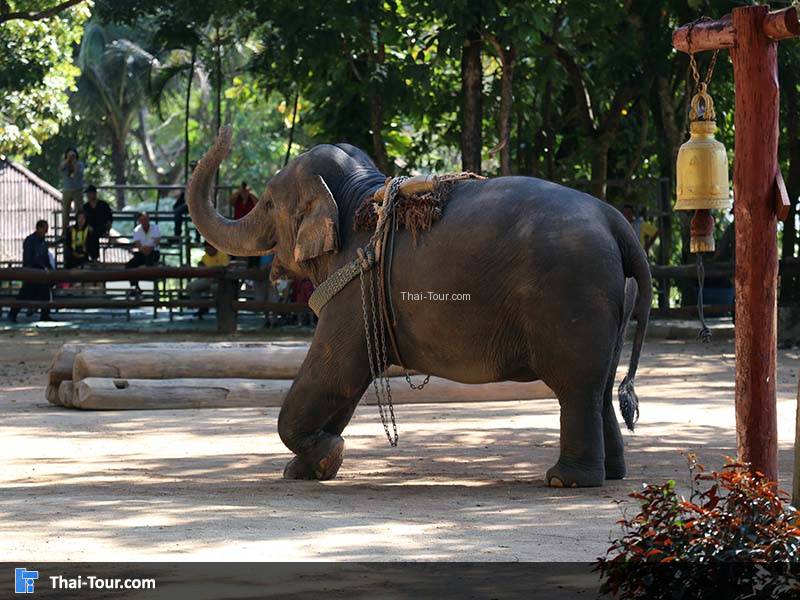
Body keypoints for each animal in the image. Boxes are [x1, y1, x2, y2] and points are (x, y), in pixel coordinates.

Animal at [187, 127, 651, 488]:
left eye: (266, 203)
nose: (224, 129)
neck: (359, 193)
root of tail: (617, 223)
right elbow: (348, 383)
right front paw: (308, 467)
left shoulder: (357, 286)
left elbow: (335, 370)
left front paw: (327, 454)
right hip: (611, 299)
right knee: (601, 384)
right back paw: (612, 474)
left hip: (571, 293)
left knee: (577, 386)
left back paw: (565, 480)